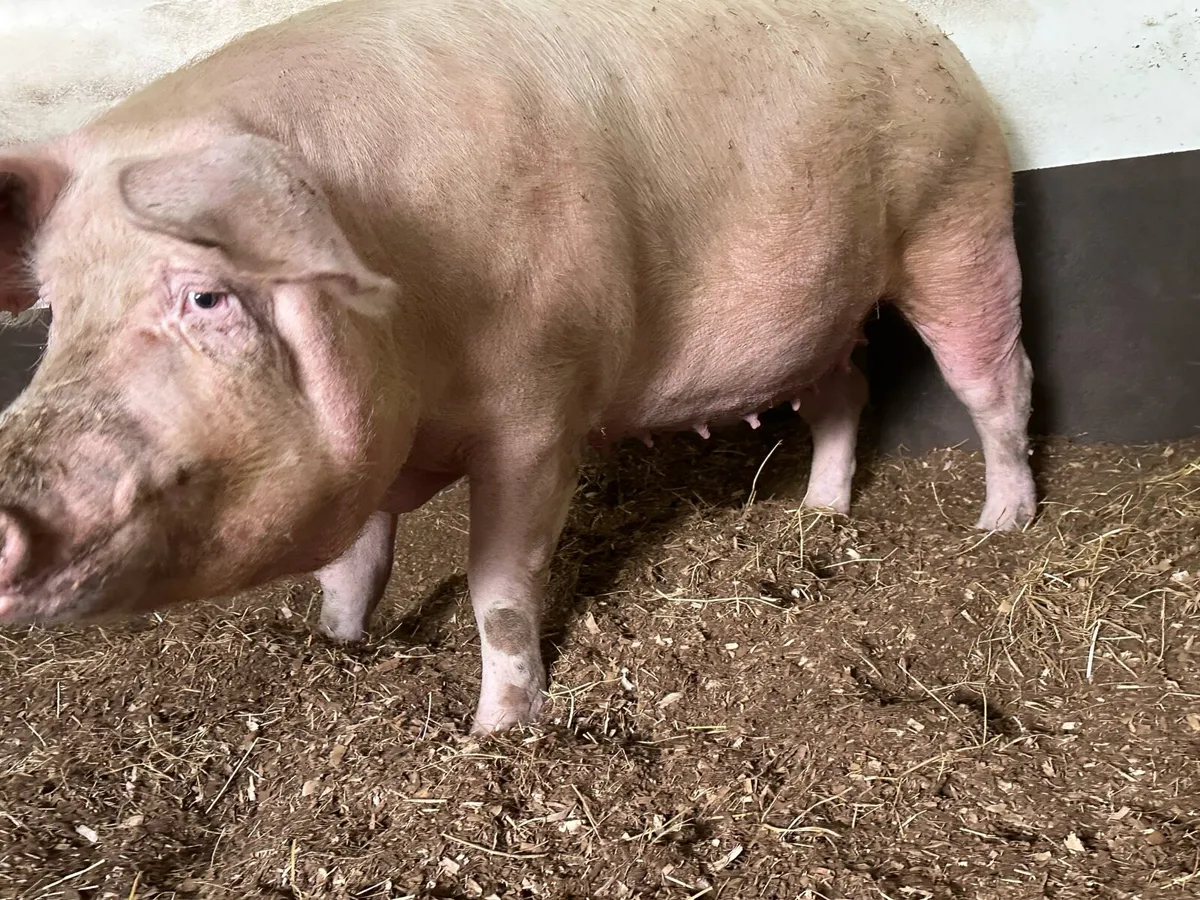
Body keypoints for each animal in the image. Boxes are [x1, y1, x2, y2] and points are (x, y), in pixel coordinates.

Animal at [0, 0, 1037, 733]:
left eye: (208, 297)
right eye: (55, 310)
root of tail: (931, 36)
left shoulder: (539, 408)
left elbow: (499, 589)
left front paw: (496, 733)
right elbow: (356, 560)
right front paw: (339, 646)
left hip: (960, 216)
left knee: (997, 379)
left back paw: (1000, 526)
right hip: (821, 308)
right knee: (843, 393)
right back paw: (821, 513)